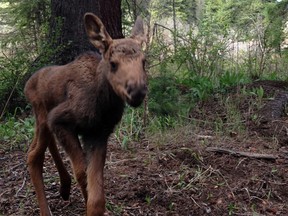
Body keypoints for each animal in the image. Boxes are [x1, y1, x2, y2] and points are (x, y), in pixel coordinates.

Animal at [23, 12, 147, 215]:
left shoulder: (98, 133)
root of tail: (27, 85)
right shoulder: (59, 120)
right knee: (33, 156)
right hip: (42, 115)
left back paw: (64, 187)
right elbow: (82, 173)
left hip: (42, 119)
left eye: (144, 62)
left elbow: (97, 196)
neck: (102, 105)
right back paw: (46, 209)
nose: (137, 91)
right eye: (113, 64)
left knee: (41, 147)